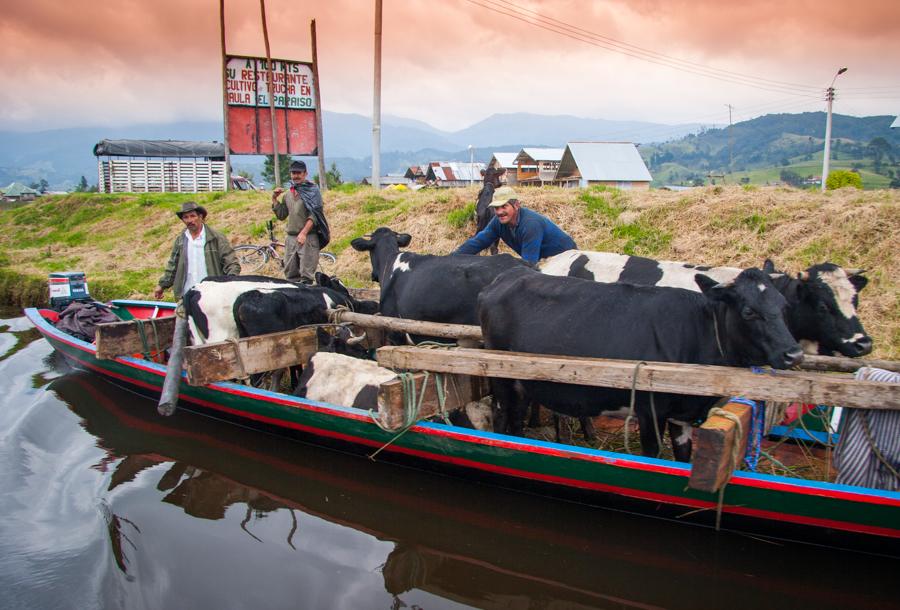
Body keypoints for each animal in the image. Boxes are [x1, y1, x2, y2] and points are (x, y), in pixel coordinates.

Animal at [478, 264, 800, 458]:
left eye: (784, 306)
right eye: (748, 311)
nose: (794, 353)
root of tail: (507, 275)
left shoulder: (682, 415)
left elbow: (683, 457)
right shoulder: (650, 412)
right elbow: (654, 456)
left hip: (522, 382)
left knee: (517, 418)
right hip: (501, 378)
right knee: (501, 416)